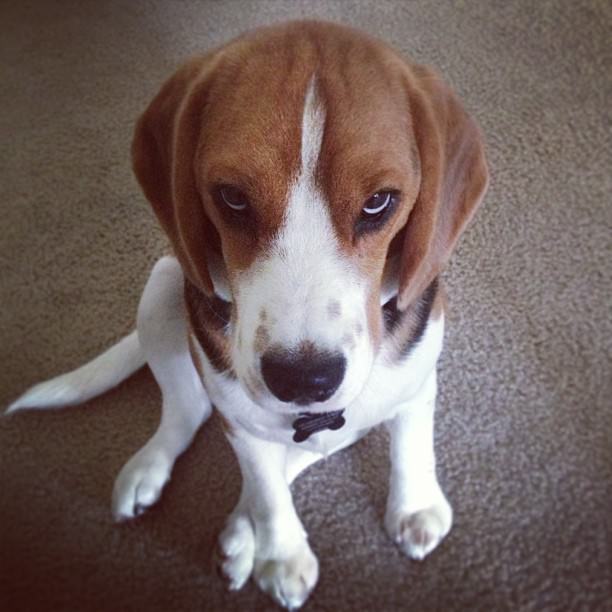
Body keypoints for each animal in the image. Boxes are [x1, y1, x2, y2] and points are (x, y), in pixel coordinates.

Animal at [7, 21, 488, 608]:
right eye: (232, 197)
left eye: (379, 202)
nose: (304, 379)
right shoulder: (239, 420)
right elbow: (266, 489)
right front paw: (281, 554)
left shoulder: (418, 378)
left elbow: (409, 441)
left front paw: (414, 504)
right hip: (164, 288)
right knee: (189, 412)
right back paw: (157, 474)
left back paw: (240, 529)